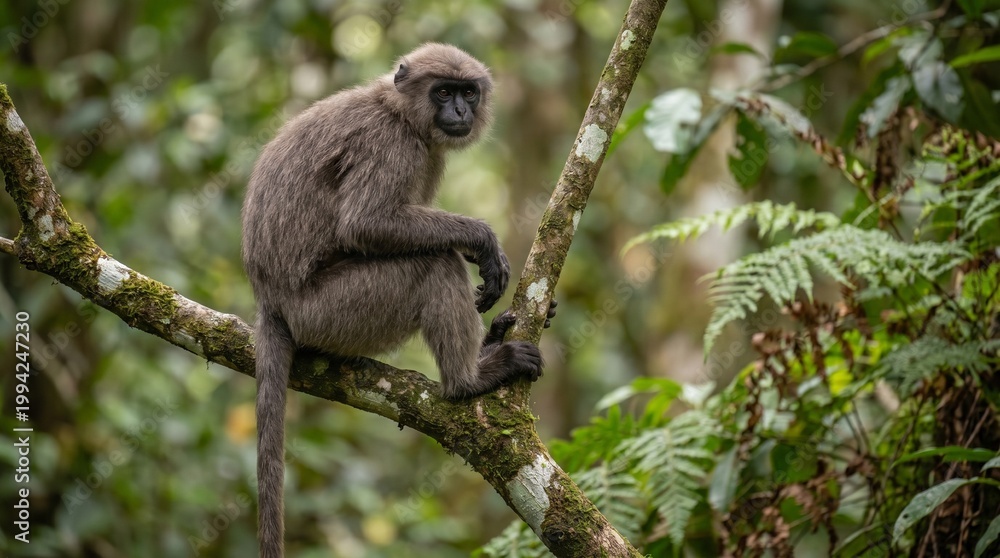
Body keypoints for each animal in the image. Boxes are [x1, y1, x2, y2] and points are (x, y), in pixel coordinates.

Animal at [241, 43, 555, 558]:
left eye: (468, 92)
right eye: (443, 92)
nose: (460, 111)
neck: (398, 113)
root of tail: (270, 301)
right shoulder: (391, 145)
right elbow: (368, 225)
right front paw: (483, 242)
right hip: (332, 312)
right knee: (434, 263)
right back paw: (468, 381)